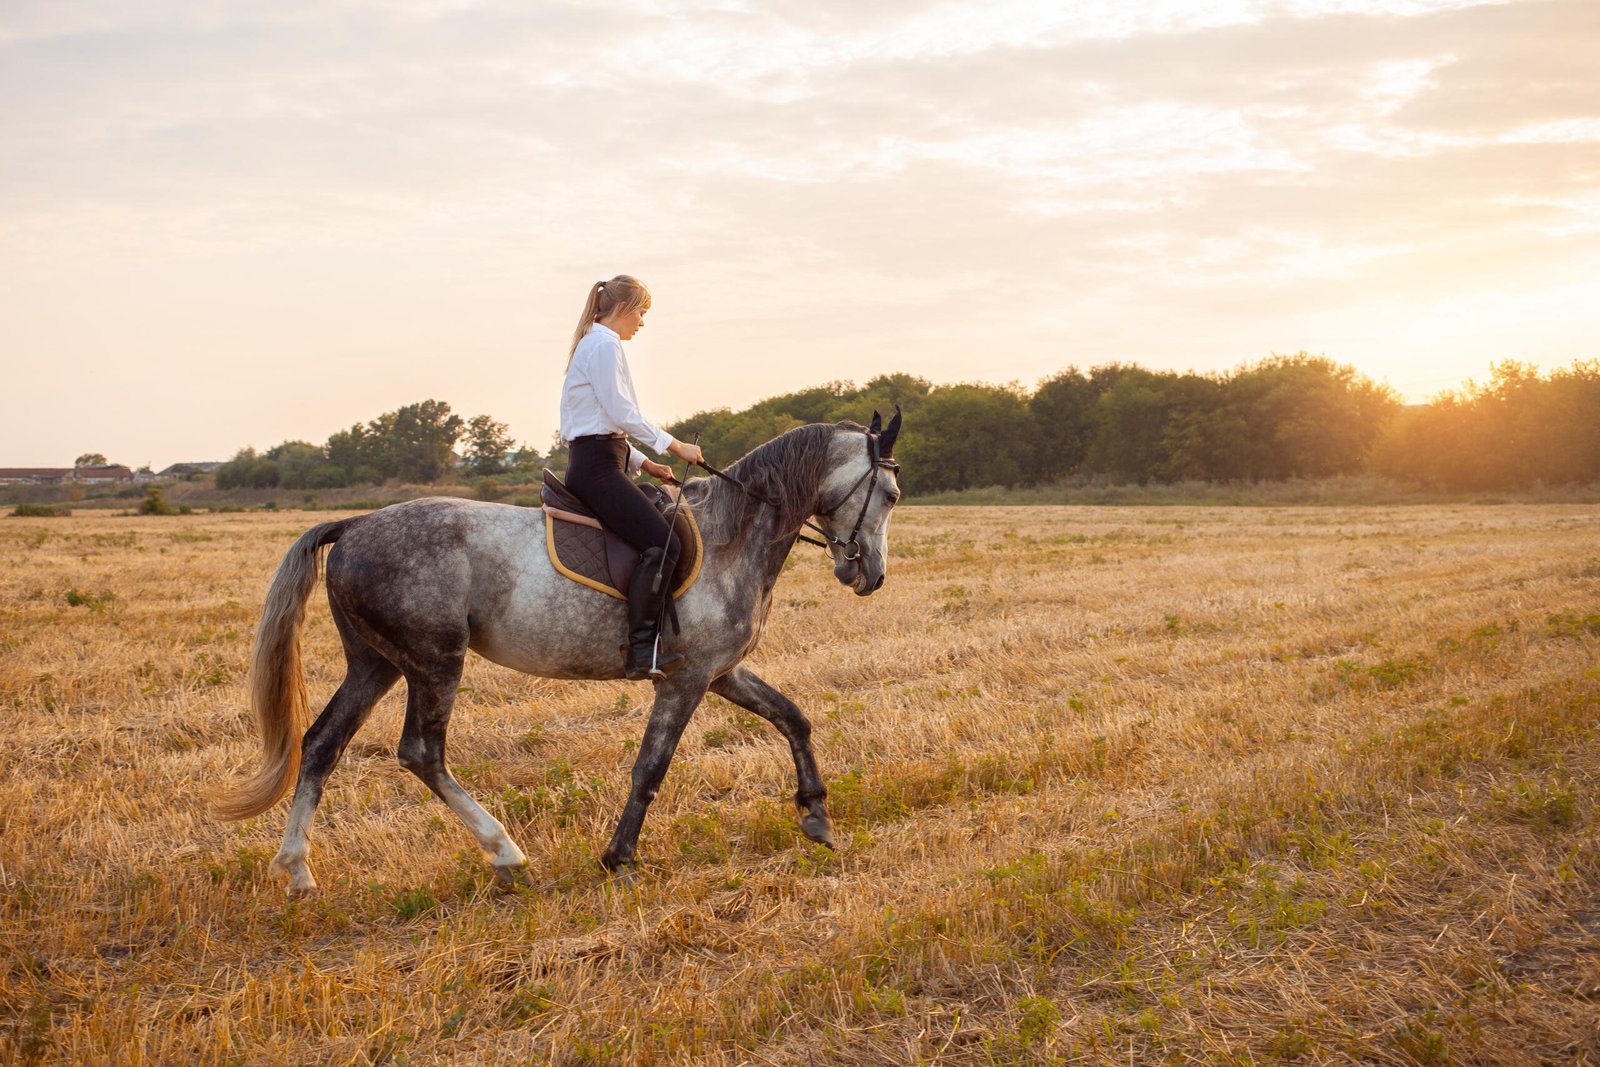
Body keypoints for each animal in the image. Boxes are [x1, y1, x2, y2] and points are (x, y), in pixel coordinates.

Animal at [212, 412, 902, 895]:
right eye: (892, 496)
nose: (870, 576)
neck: (734, 536)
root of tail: (353, 524)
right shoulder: (685, 680)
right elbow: (650, 768)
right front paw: (619, 859)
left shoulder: (719, 671)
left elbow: (793, 717)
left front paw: (817, 816)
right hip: (435, 660)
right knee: (421, 752)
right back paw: (506, 852)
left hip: (374, 663)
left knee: (322, 744)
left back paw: (298, 871)